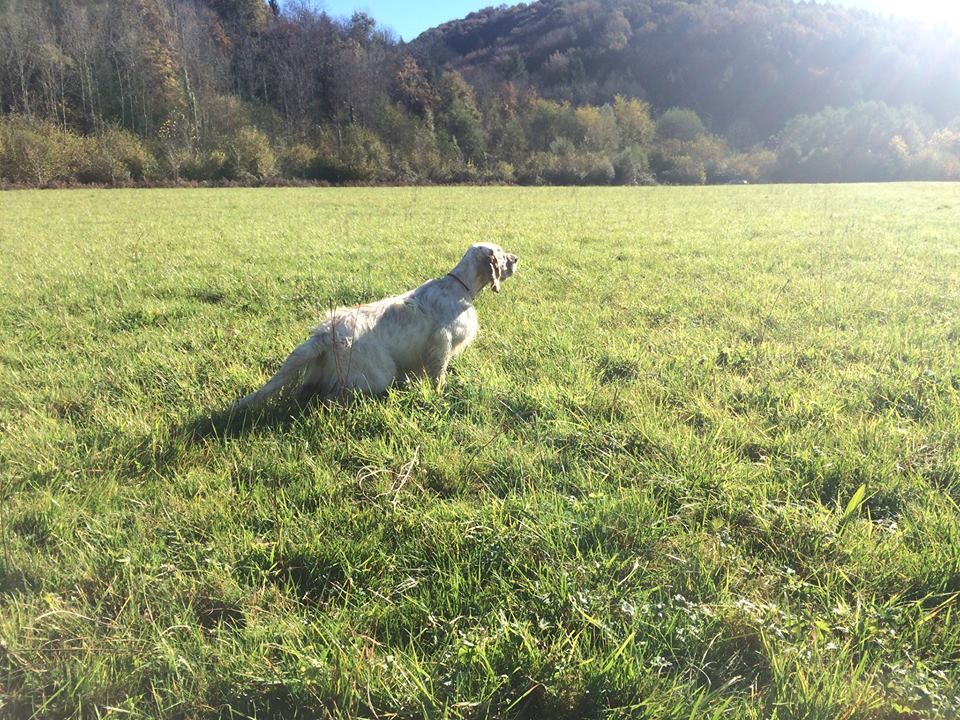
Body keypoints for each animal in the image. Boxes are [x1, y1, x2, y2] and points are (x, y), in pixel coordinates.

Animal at [232, 243, 516, 408]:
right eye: (501, 254)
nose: (516, 258)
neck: (459, 287)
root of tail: (324, 333)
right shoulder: (441, 344)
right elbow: (439, 375)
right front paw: (439, 394)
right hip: (376, 374)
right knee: (333, 399)